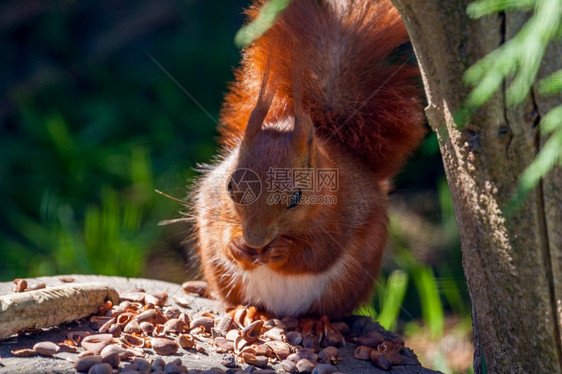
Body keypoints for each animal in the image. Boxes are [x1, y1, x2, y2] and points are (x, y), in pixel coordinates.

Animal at [190, 0, 422, 318]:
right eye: (230, 188)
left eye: (295, 199)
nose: (255, 241)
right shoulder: (214, 202)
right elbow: (221, 233)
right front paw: (237, 246)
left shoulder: (341, 212)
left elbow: (319, 254)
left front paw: (282, 251)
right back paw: (248, 311)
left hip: (347, 285)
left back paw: (315, 322)